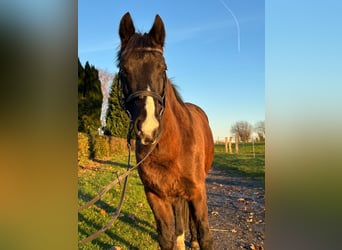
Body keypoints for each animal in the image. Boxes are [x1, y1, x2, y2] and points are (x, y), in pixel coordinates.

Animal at [117, 12, 214, 250]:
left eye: (163, 68)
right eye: (124, 70)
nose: (148, 128)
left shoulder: (197, 191)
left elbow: (205, 234)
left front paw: (198, 240)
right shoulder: (156, 195)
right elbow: (166, 237)